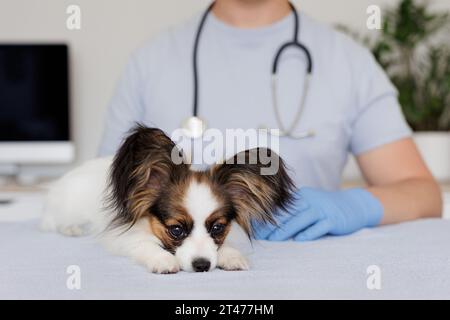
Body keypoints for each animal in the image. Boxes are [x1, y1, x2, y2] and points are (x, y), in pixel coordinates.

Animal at [40, 124, 296, 272]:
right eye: (176, 230)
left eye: (217, 228)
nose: (202, 266)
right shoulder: (122, 236)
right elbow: (145, 245)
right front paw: (163, 260)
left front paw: (231, 255)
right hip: (68, 206)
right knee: (53, 220)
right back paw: (71, 228)